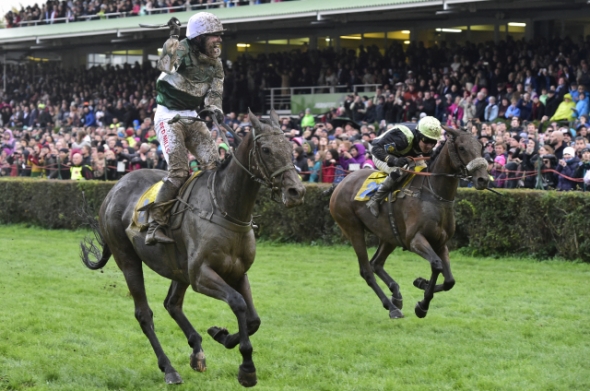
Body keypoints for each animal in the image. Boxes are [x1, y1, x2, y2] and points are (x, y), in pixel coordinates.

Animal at [81, 108, 308, 388]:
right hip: (128, 259)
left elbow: (253, 319)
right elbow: (238, 303)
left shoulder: (237, 272)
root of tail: (114, 189)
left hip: (178, 268)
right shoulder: (201, 274)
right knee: (144, 314)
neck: (226, 207)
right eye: (265, 149)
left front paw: (221, 335)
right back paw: (169, 369)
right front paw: (246, 367)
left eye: (290, 147)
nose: (296, 191)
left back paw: (197, 349)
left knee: (172, 304)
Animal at [332, 127, 490, 320]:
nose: (483, 179)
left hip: (389, 235)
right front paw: (422, 304)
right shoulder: (415, 240)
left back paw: (396, 295)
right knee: (367, 271)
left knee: (376, 263)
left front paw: (421, 284)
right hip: (353, 228)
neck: (433, 195)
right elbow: (437, 264)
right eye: (461, 148)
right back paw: (392, 307)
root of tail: (341, 183)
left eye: (481, 146)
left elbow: (449, 280)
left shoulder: (441, 243)